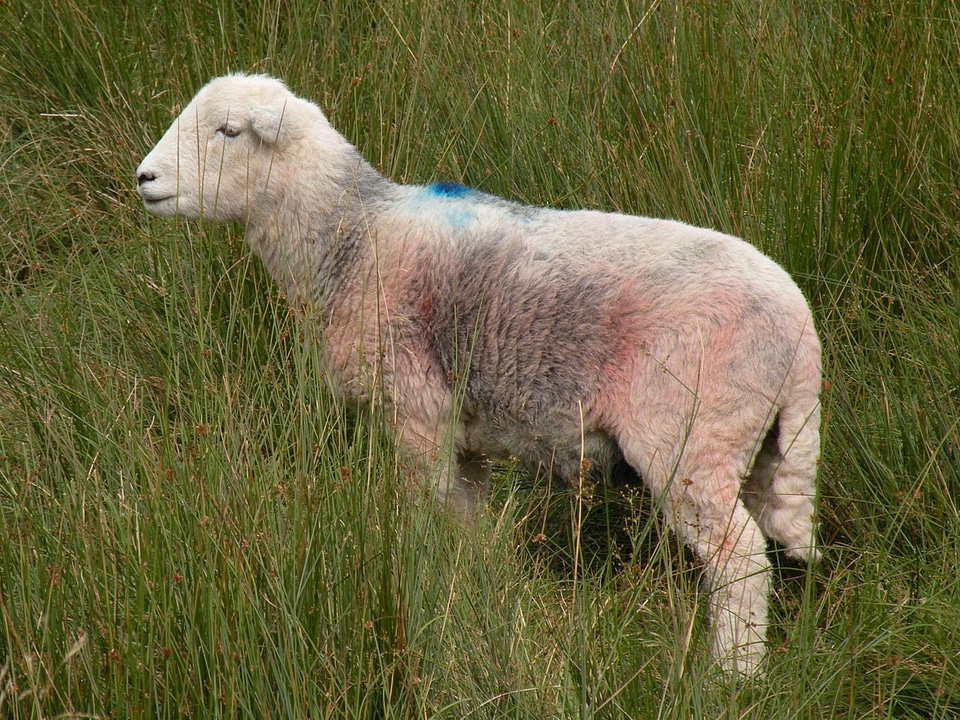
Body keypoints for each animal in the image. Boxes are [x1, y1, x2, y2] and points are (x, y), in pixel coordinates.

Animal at [137, 73, 824, 676]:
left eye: (228, 131)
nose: (144, 178)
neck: (352, 241)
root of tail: (802, 333)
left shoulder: (416, 411)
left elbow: (432, 519)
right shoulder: (465, 437)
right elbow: (466, 529)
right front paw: (473, 601)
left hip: (691, 433)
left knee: (740, 561)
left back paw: (733, 675)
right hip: (755, 442)